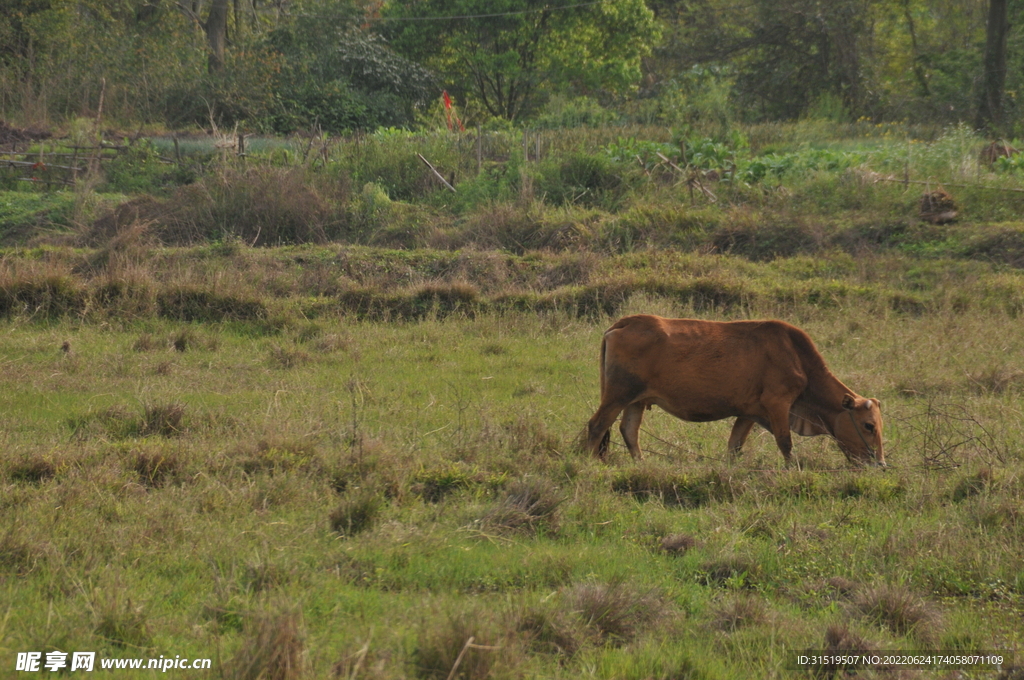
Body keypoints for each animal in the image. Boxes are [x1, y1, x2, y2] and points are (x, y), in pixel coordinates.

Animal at [589, 315, 884, 464]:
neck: (798, 359)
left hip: (635, 400)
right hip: (617, 395)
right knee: (597, 425)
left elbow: (735, 445)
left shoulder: (748, 413)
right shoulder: (778, 405)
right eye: (868, 425)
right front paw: (793, 470)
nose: (879, 463)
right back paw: (589, 462)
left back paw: (641, 464)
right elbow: (785, 443)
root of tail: (625, 322)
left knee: (628, 431)